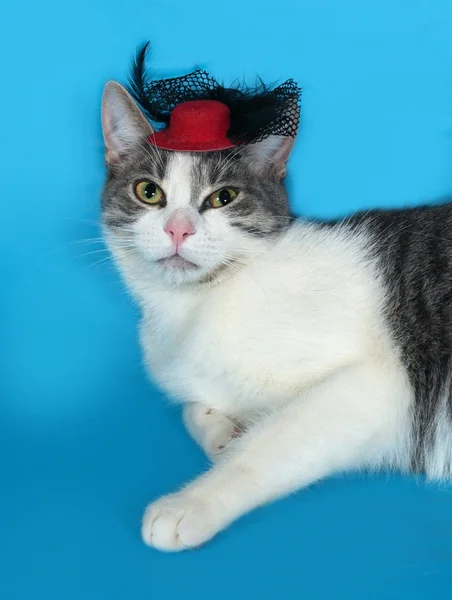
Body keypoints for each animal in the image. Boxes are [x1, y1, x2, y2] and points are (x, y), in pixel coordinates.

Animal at [100, 81, 452, 552]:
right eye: (148, 192)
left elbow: (267, 445)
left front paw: (190, 503)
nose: (178, 229)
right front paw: (221, 433)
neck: (192, 310)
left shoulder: (384, 385)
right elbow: (193, 408)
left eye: (223, 198)